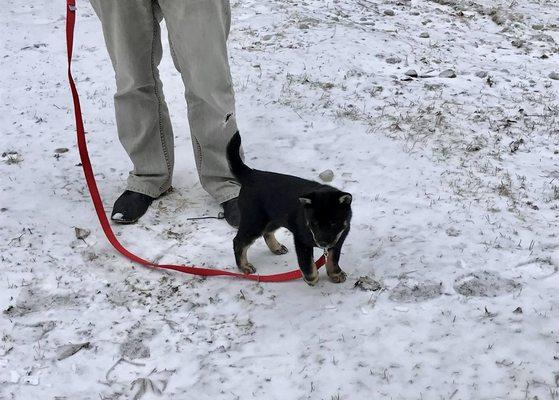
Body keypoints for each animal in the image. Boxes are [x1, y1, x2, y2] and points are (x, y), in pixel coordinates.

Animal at [225, 132, 352, 284]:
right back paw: (244, 266)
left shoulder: (338, 240)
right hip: (254, 221)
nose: (322, 243)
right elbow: (307, 263)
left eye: (333, 223)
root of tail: (251, 174)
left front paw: (335, 274)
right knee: (238, 241)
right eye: (314, 224)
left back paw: (276, 247)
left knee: (266, 232)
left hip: (274, 218)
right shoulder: (301, 240)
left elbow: (333, 258)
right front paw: (311, 278)